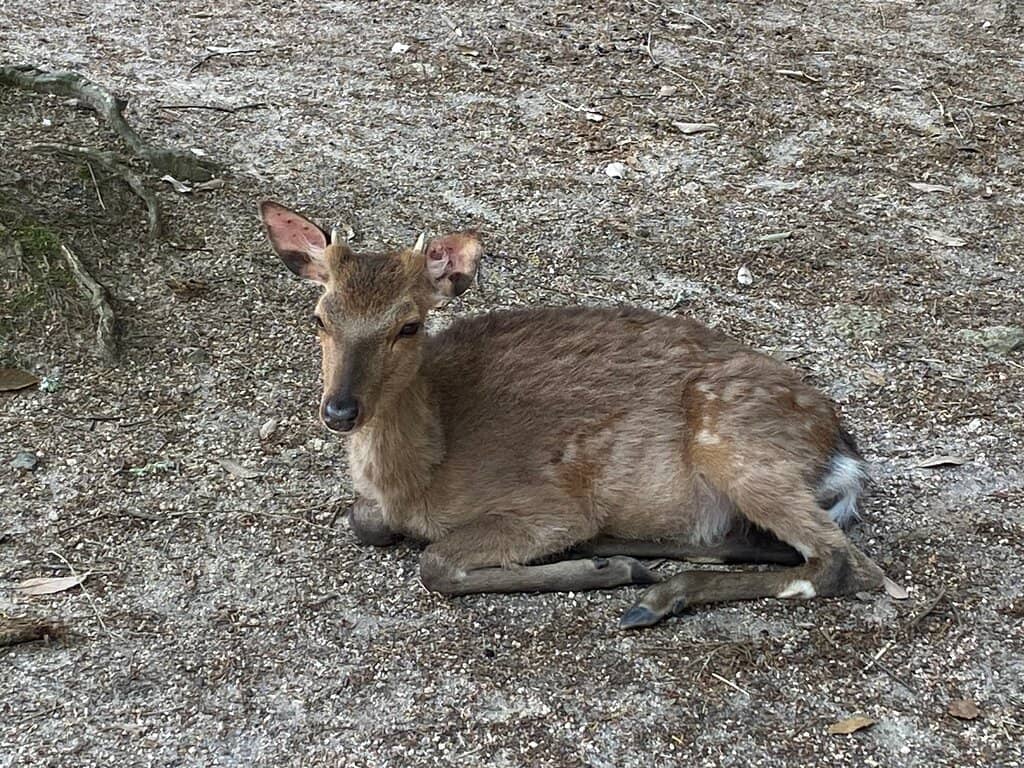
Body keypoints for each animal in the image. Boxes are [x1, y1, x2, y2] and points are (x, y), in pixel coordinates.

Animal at [259, 200, 886, 629]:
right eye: (320, 317)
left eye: (408, 325)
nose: (340, 410)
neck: (420, 479)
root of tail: (843, 453)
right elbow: (362, 521)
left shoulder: (548, 505)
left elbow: (434, 562)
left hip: (736, 445)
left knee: (845, 563)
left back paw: (651, 593)